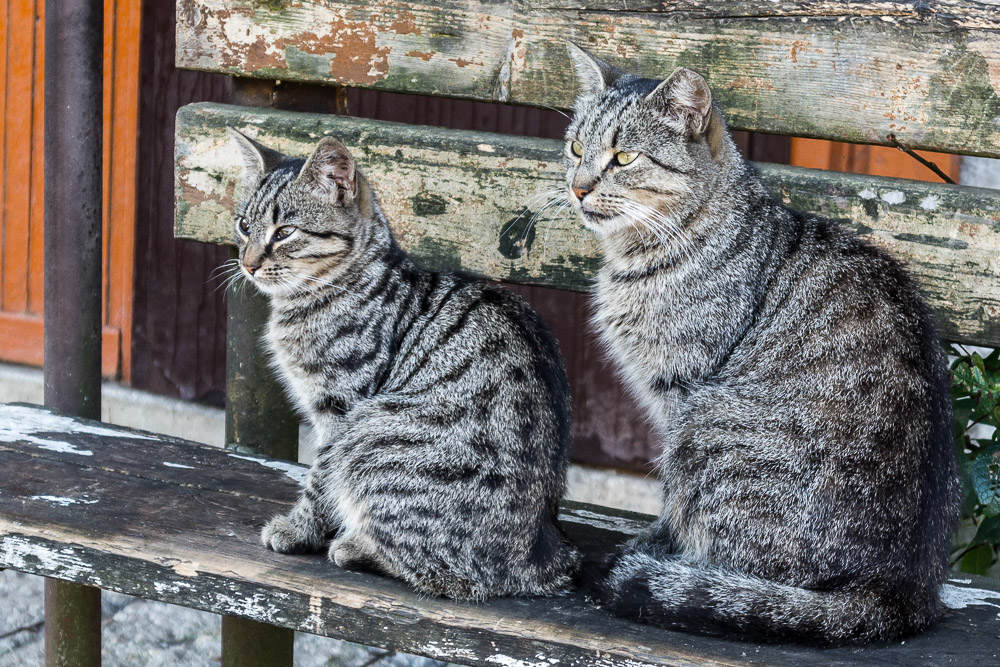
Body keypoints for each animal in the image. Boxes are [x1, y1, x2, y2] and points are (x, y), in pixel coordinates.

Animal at [229, 126, 580, 600]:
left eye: (284, 232)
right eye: (244, 225)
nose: (248, 264)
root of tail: (540, 557)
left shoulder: (341, 410)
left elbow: (319, 480)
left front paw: (300, 529)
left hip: (371, 435)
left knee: (448, 575)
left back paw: (355, 546)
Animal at [564, 43, 960, 648]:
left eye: (625, 158)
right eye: (576, 148)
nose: (578, 187)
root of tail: (898, 592)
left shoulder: (680, 392)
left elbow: (672, 504)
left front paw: (656, 546)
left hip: (709, 422)